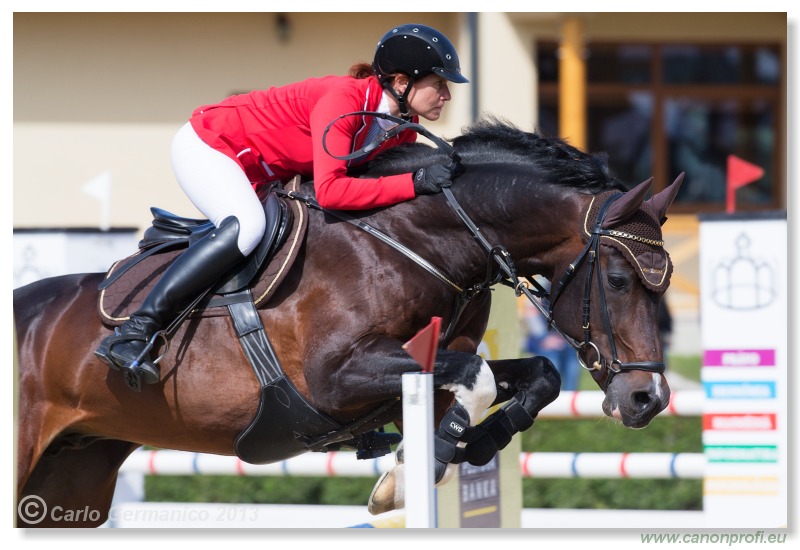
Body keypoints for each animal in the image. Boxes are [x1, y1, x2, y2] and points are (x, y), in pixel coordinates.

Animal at [14, 118, 680, 528]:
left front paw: (476, 444)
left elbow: (535, 373)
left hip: (72, 474)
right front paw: (411, 478)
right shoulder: (333, 378)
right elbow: (477, 374)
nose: (647, 399)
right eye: (618, 281)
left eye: (665, 286)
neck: (421, 240)